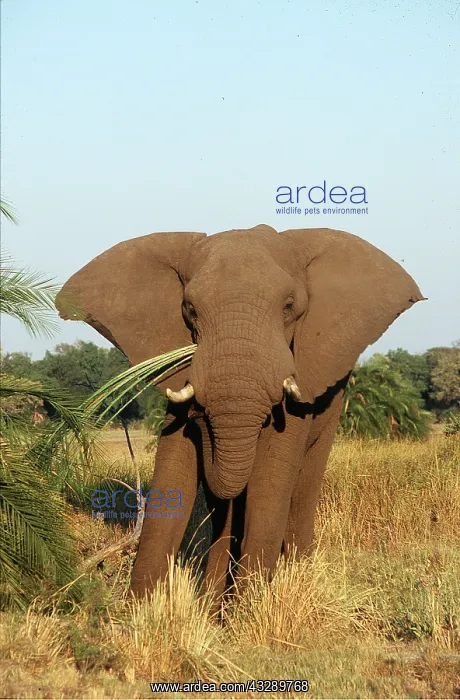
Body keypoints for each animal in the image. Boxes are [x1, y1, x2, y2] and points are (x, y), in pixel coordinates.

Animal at [56, 224, 424, 601]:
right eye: (190, 309)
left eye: (289, 307)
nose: (201, 418)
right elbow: (173, 475)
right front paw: (142, 609)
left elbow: (268, 485)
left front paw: (251, 609)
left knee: (302, 487)